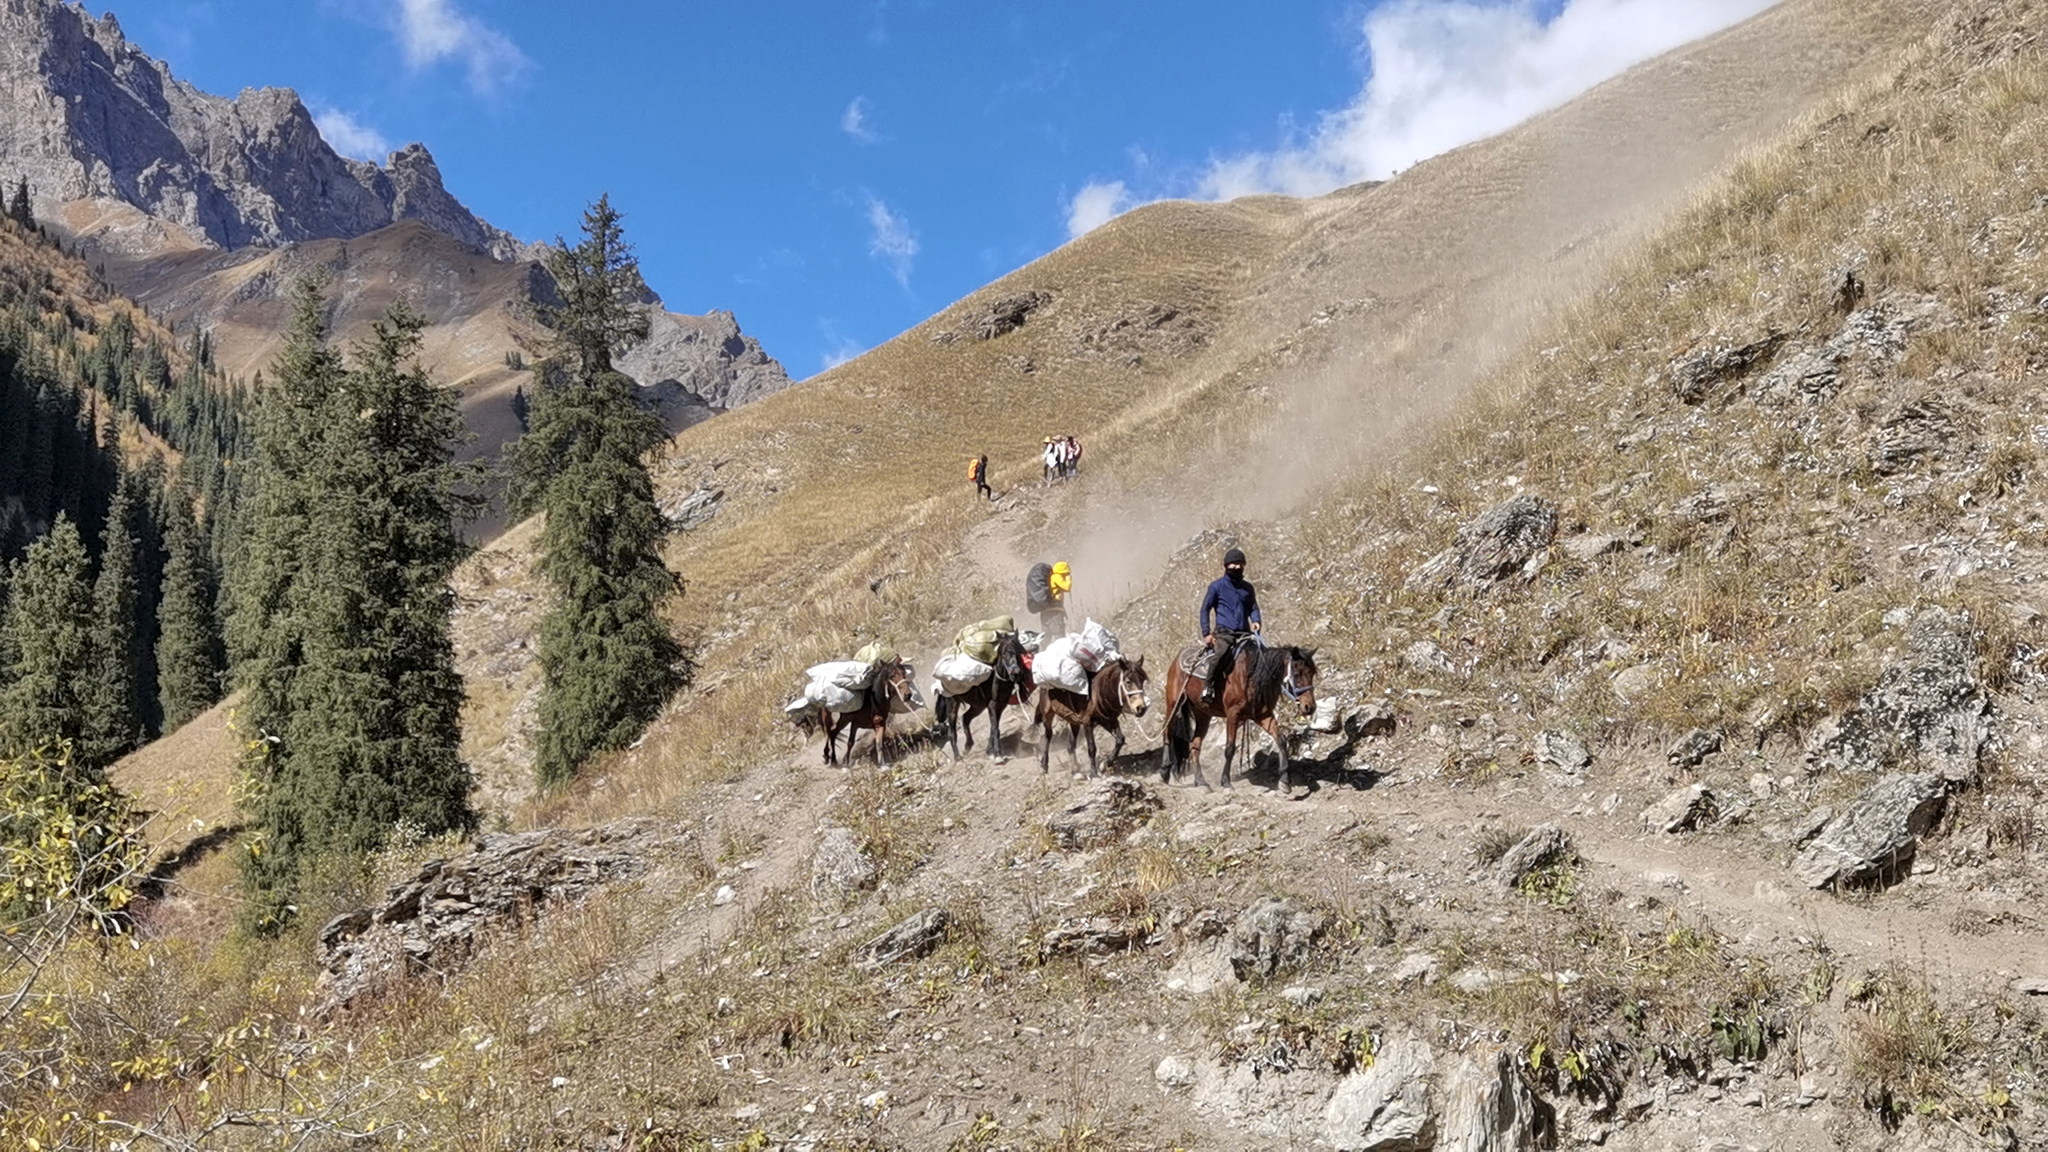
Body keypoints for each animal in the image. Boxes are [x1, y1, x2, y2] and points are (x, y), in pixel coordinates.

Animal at [931, 631, 1035, 762]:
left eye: (1019, 652)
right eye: (1003, 653)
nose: (1016, 673)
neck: (998, 680)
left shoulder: (1000, 706)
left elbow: (994, 727)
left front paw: (990, 751)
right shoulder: (992, 705)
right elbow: (995, 728)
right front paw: (997, 754)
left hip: (978, 706)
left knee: (965, 718)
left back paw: (968, 746)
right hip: (952, 704)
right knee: (952, 731)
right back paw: (958, 757)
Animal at [1160, 641, 1318, 792]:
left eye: (1312, 673)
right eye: (1296, 673)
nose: (1309, 707)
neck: (1253, 677)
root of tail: (1179, 657)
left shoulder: (1263, 716)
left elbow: (1281, 740)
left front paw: (1285, 781)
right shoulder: (1233, 716)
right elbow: (1230, 749)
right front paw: (1226, 783)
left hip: (1203, 714)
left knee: (1195, 744)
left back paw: (1201, 782)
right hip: (1173, 703)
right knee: (1167, 732)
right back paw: (1164, 772)